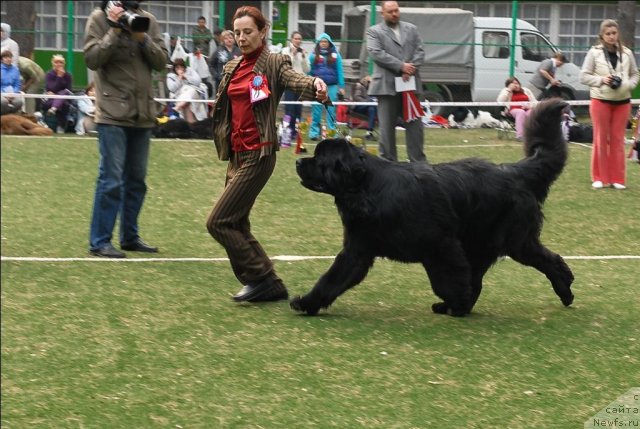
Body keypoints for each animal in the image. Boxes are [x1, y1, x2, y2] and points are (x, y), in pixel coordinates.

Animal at [292, 98, 572, 316]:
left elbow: (448, 280)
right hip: (482, 243)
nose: (298, 161)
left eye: (320, 158)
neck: (366, 190)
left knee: (548, 260)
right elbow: (333, 278)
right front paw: (307, 302)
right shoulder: (358, 249)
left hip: (511, 240)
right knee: (482, 275)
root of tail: (515, 171)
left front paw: (457, 303)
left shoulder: (440, 245)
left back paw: (565, 289)